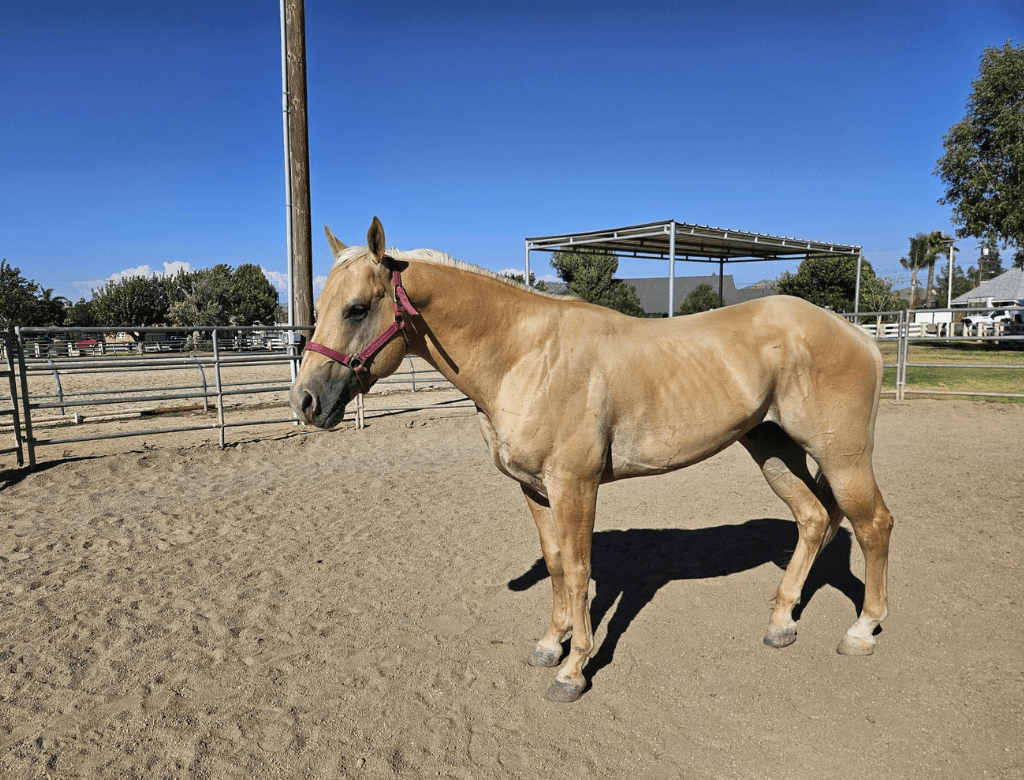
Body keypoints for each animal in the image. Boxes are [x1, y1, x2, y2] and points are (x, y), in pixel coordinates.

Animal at [290, 217, 894, 703]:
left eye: (357, 309)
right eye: (320, 310)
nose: (305, 402)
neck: (527, 356)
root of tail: (856, 331)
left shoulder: (575, 486)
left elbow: (581, 571)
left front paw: (573, 669)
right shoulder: (535, 489)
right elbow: (558, 565)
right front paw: (549, 645)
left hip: (841, 457)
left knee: (873, 525)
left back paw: (861, 631)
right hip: (771, 446)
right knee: (814, 518)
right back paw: (781, 622)